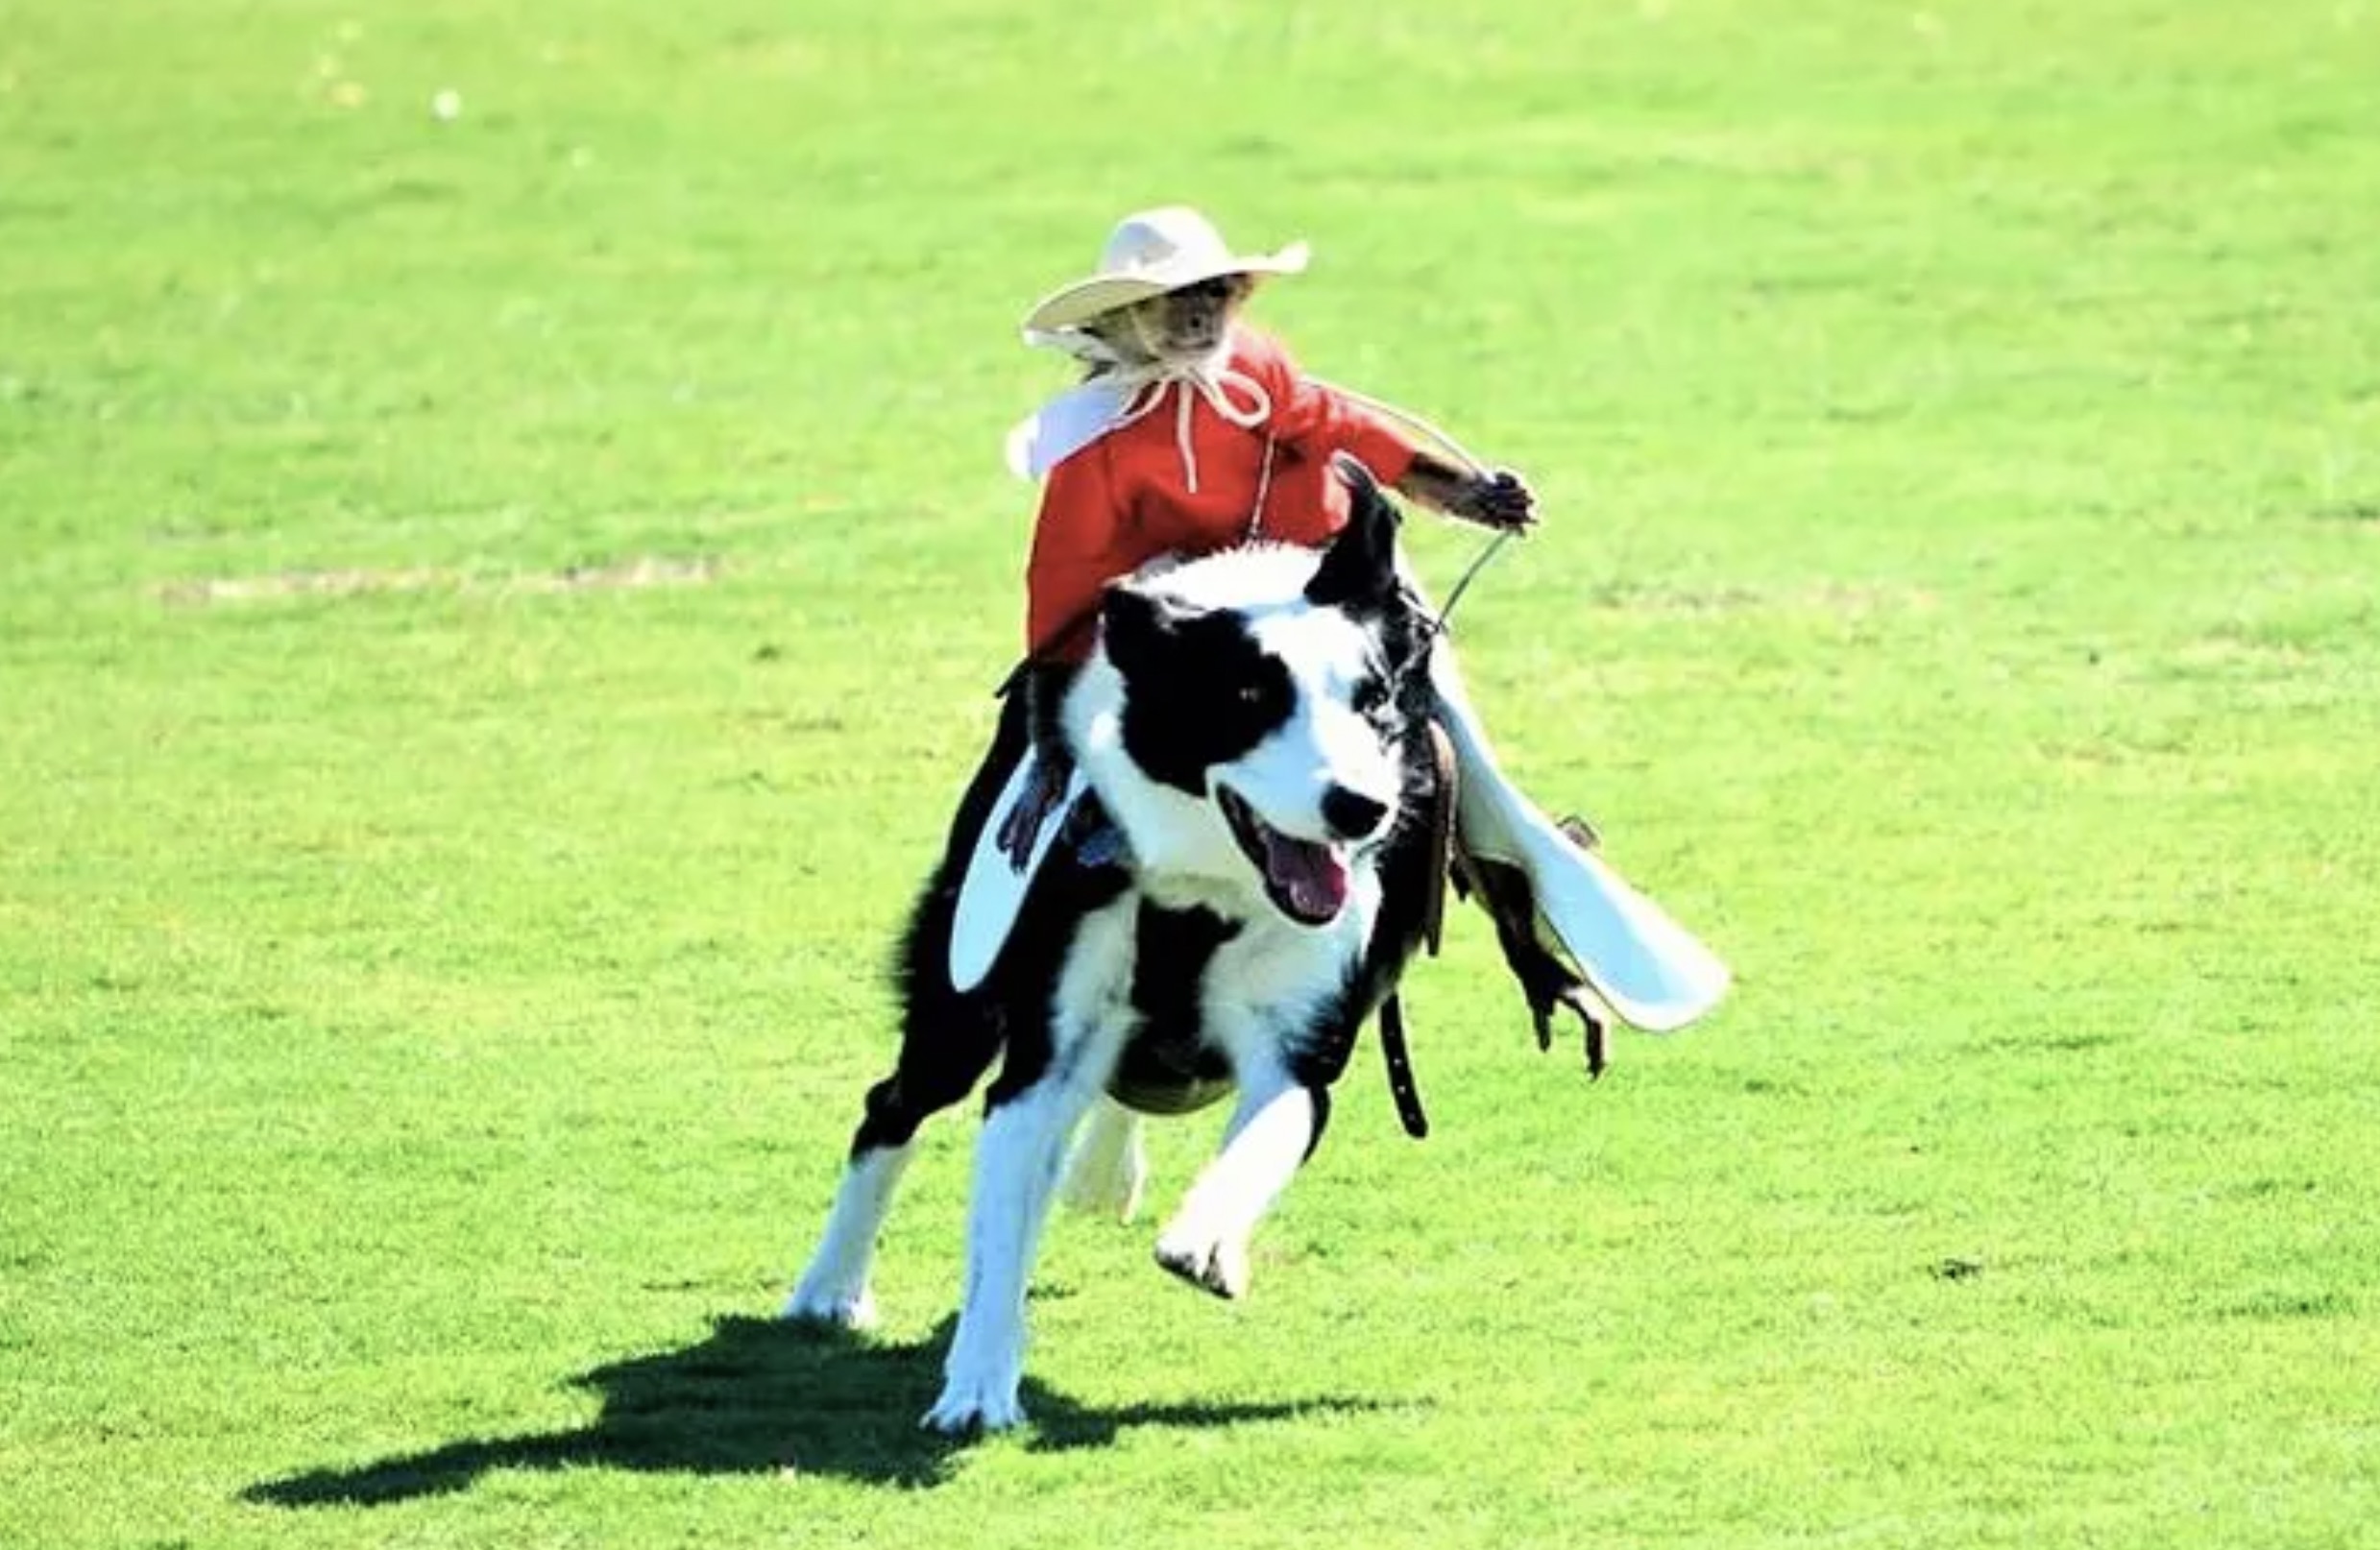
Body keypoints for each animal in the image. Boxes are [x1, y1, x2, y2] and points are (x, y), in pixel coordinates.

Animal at [789, 466, 1437, 1438]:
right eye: (1249, 702)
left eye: (1374, 701)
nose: (1361, 808)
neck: (1206, 889)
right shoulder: (1040, 1056)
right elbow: (997, 1235)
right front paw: (977, 1389)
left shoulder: (1300, 1047)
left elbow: (1265, 1139)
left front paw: (1205, 1239)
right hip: (956, 999)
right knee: (892, 1106)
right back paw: (830, 1287)